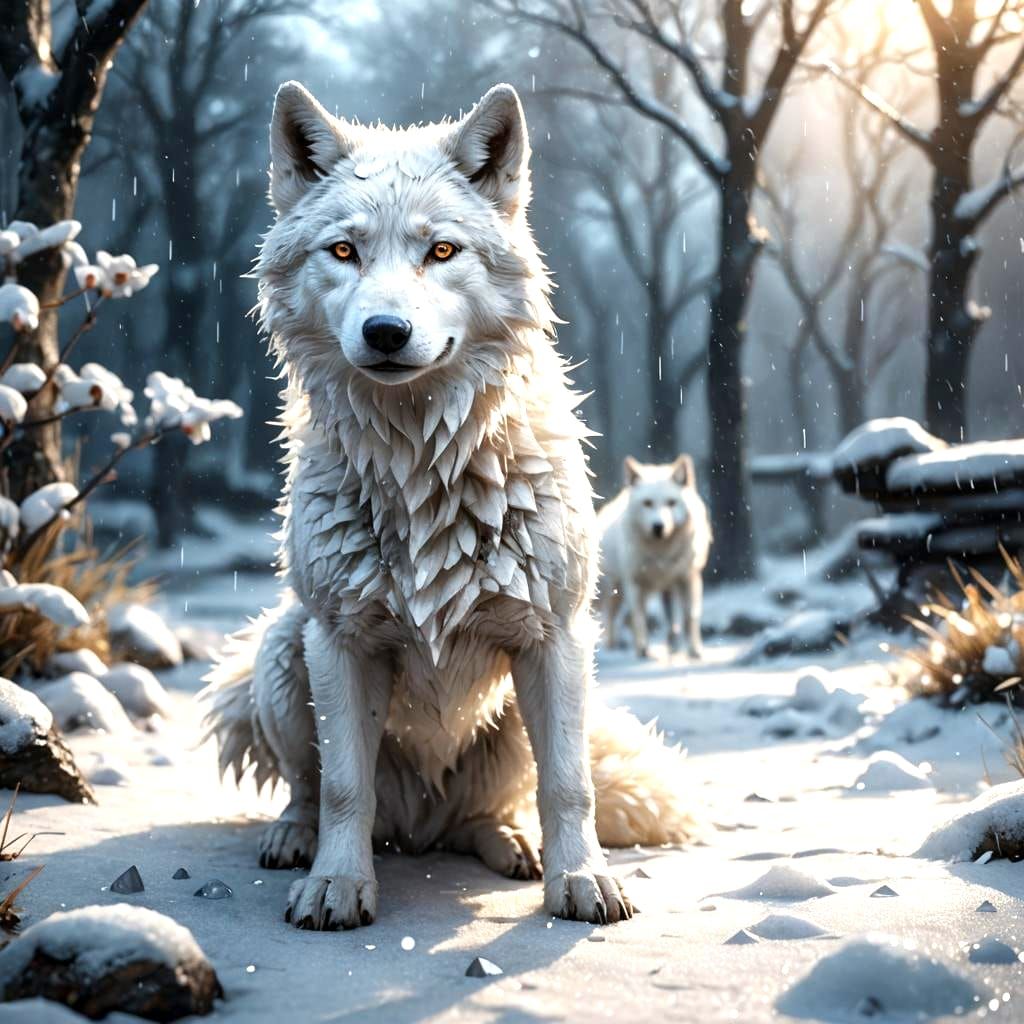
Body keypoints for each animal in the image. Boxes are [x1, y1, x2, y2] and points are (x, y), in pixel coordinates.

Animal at [200, 81, 693, 931]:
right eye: (344, 252)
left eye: (440, 252)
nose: (385, 331)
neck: (419, 464)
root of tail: (420, 830)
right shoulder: (338, 641)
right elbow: (343, 787)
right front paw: (338, 886)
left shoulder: (556, 637)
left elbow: (570, 786)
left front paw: (582, 882)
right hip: (279, 652)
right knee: (311, 789)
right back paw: (295, 840)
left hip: (521, 716)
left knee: (494, 810)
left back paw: (510, 845)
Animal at [598, 455, 711, 659]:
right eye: (648, 503)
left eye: (671, 503)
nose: (658, 526)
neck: (661, 552)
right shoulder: (634, 582)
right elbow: (639, 618)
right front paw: (643, 649)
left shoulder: (688, 578)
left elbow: (690, 616)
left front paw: (694, 650)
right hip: (616, 589)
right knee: (611, 614)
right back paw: (614, 645)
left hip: (664, 589)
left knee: (668, 618)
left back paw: (673, 645)